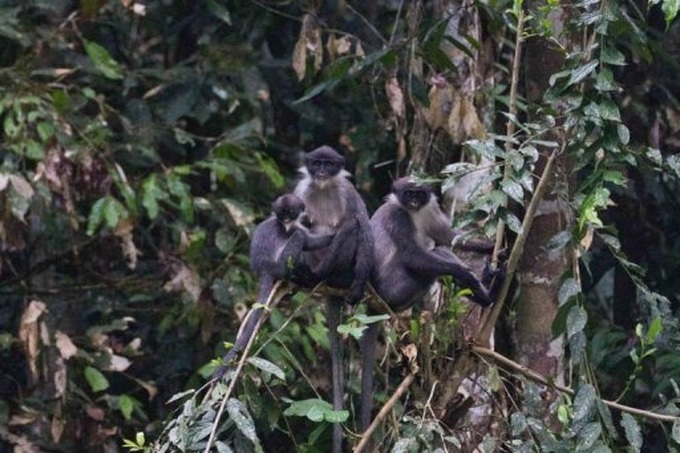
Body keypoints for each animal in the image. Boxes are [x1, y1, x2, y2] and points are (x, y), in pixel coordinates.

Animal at [214, 194, 334, 377]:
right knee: (298, 238)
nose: (285, 220)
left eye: (290, 213)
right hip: (282, 264)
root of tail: (265, 268)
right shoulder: (290, 230)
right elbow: (306, 241)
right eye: (282, 214)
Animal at [293, 145, 374, 453]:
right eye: (316, 163)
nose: (322, 171)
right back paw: (307, 276)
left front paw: (360, 286)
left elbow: (363, 225)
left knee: (352, 225)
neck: (324, 187)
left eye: (328, 164)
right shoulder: (302, 190)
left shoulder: (346, 190)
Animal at [358, 176, 502, 432]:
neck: (413, 213)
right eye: (408, 194)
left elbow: (449, 238)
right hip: (398, 288)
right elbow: (413, 255)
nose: (414, 202)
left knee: (440, 250)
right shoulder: (398, 216)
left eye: (419, 193)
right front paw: (467, 275)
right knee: (431, 260)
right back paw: (485, 293)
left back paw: (487, 288)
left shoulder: (430, 210)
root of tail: (375, 301)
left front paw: (489, 247)